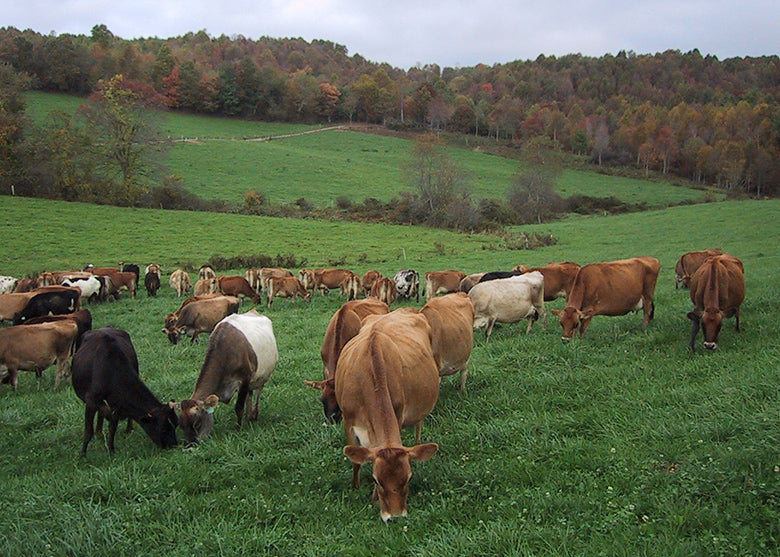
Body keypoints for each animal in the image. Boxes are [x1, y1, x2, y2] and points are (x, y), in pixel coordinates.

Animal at [177, 308, 278, 444]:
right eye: (181, 425)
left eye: (197, 424)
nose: (190, 444)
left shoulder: (245, 379)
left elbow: (239, 407)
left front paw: (239, 429)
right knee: (250, 394)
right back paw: (249, 416)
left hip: (262, 375)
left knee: (258, 391)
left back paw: (254, 414)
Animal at [336, 308, 442, 520]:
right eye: (376, 479)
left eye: (408, 478)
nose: (395, 517)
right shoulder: (348, 420)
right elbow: (356, 461)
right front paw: (355, 486)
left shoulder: (398, 413)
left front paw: (374, 499)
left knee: (418, 426)